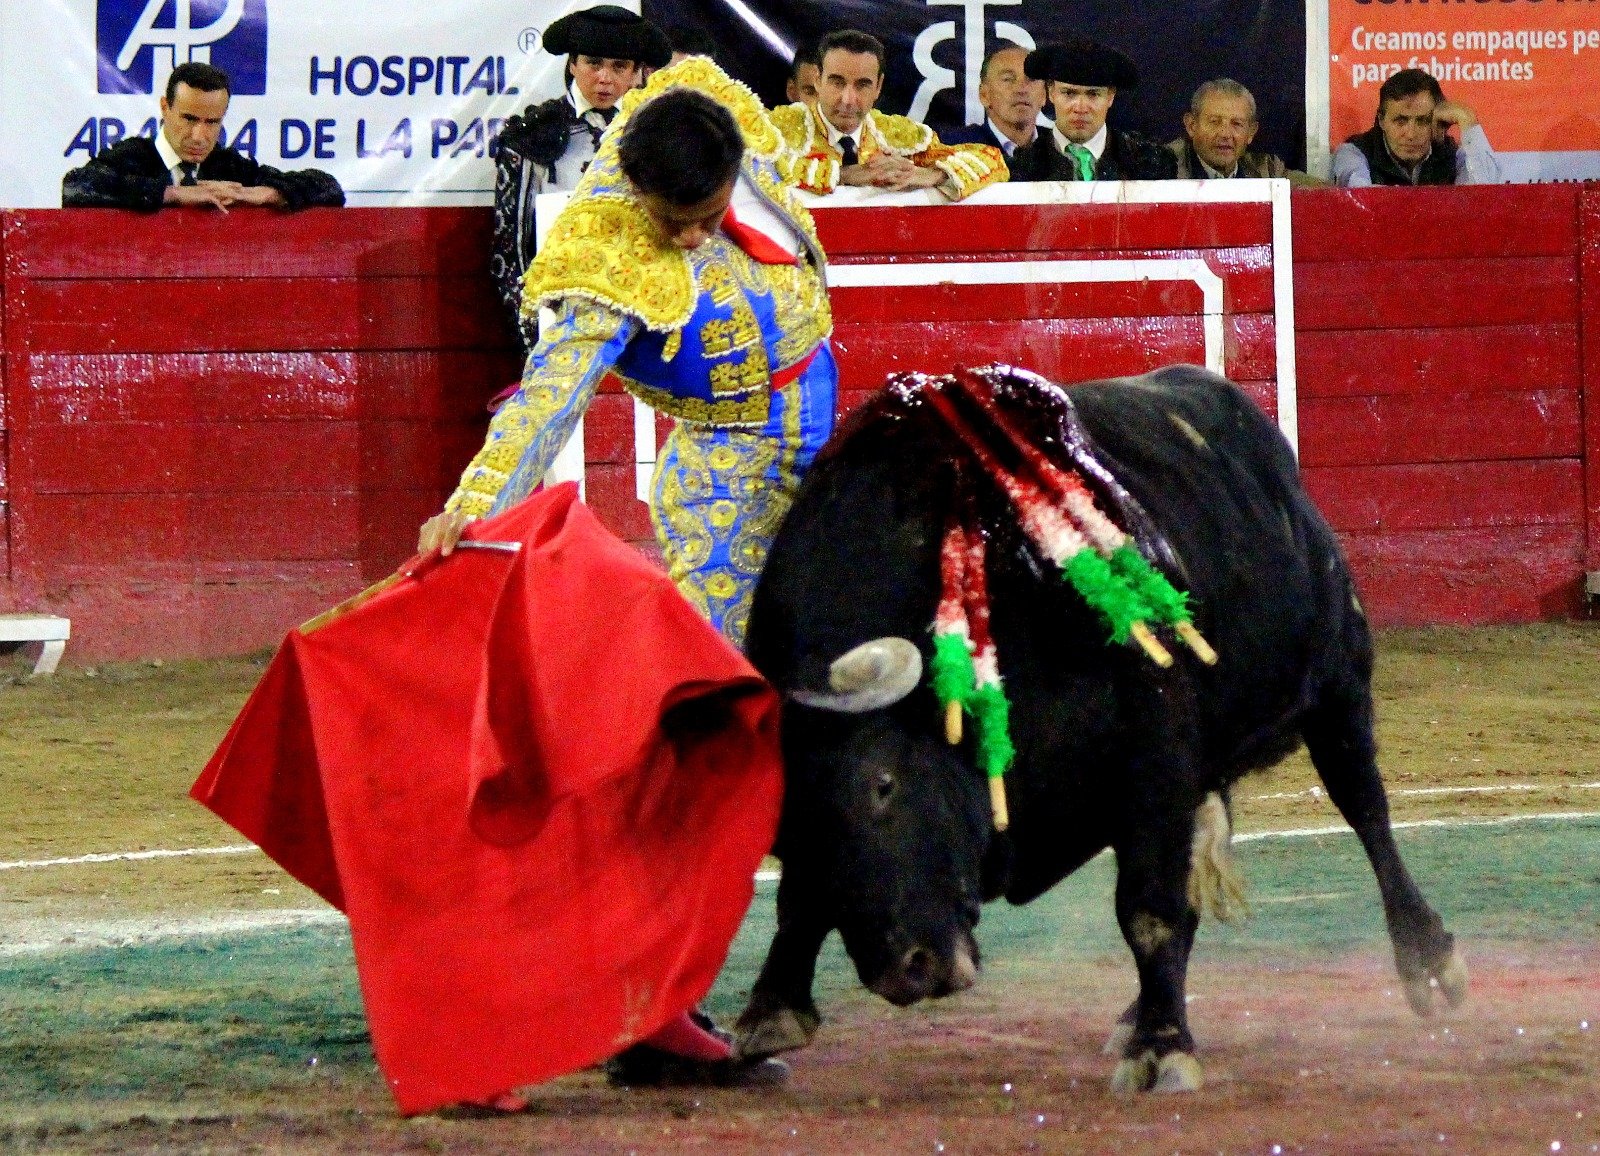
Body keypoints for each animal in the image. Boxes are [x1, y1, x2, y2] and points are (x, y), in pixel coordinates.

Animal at [732, 363, 1467, 1093]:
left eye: (883, 785)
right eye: (781, 826)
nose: (904, 972)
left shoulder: (1157, 756)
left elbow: (1149, 908)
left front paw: (1162, 1048)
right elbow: (800, 900)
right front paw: (773, 1010)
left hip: (1338, 683)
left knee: (1365, 807)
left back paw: (1428, 962)